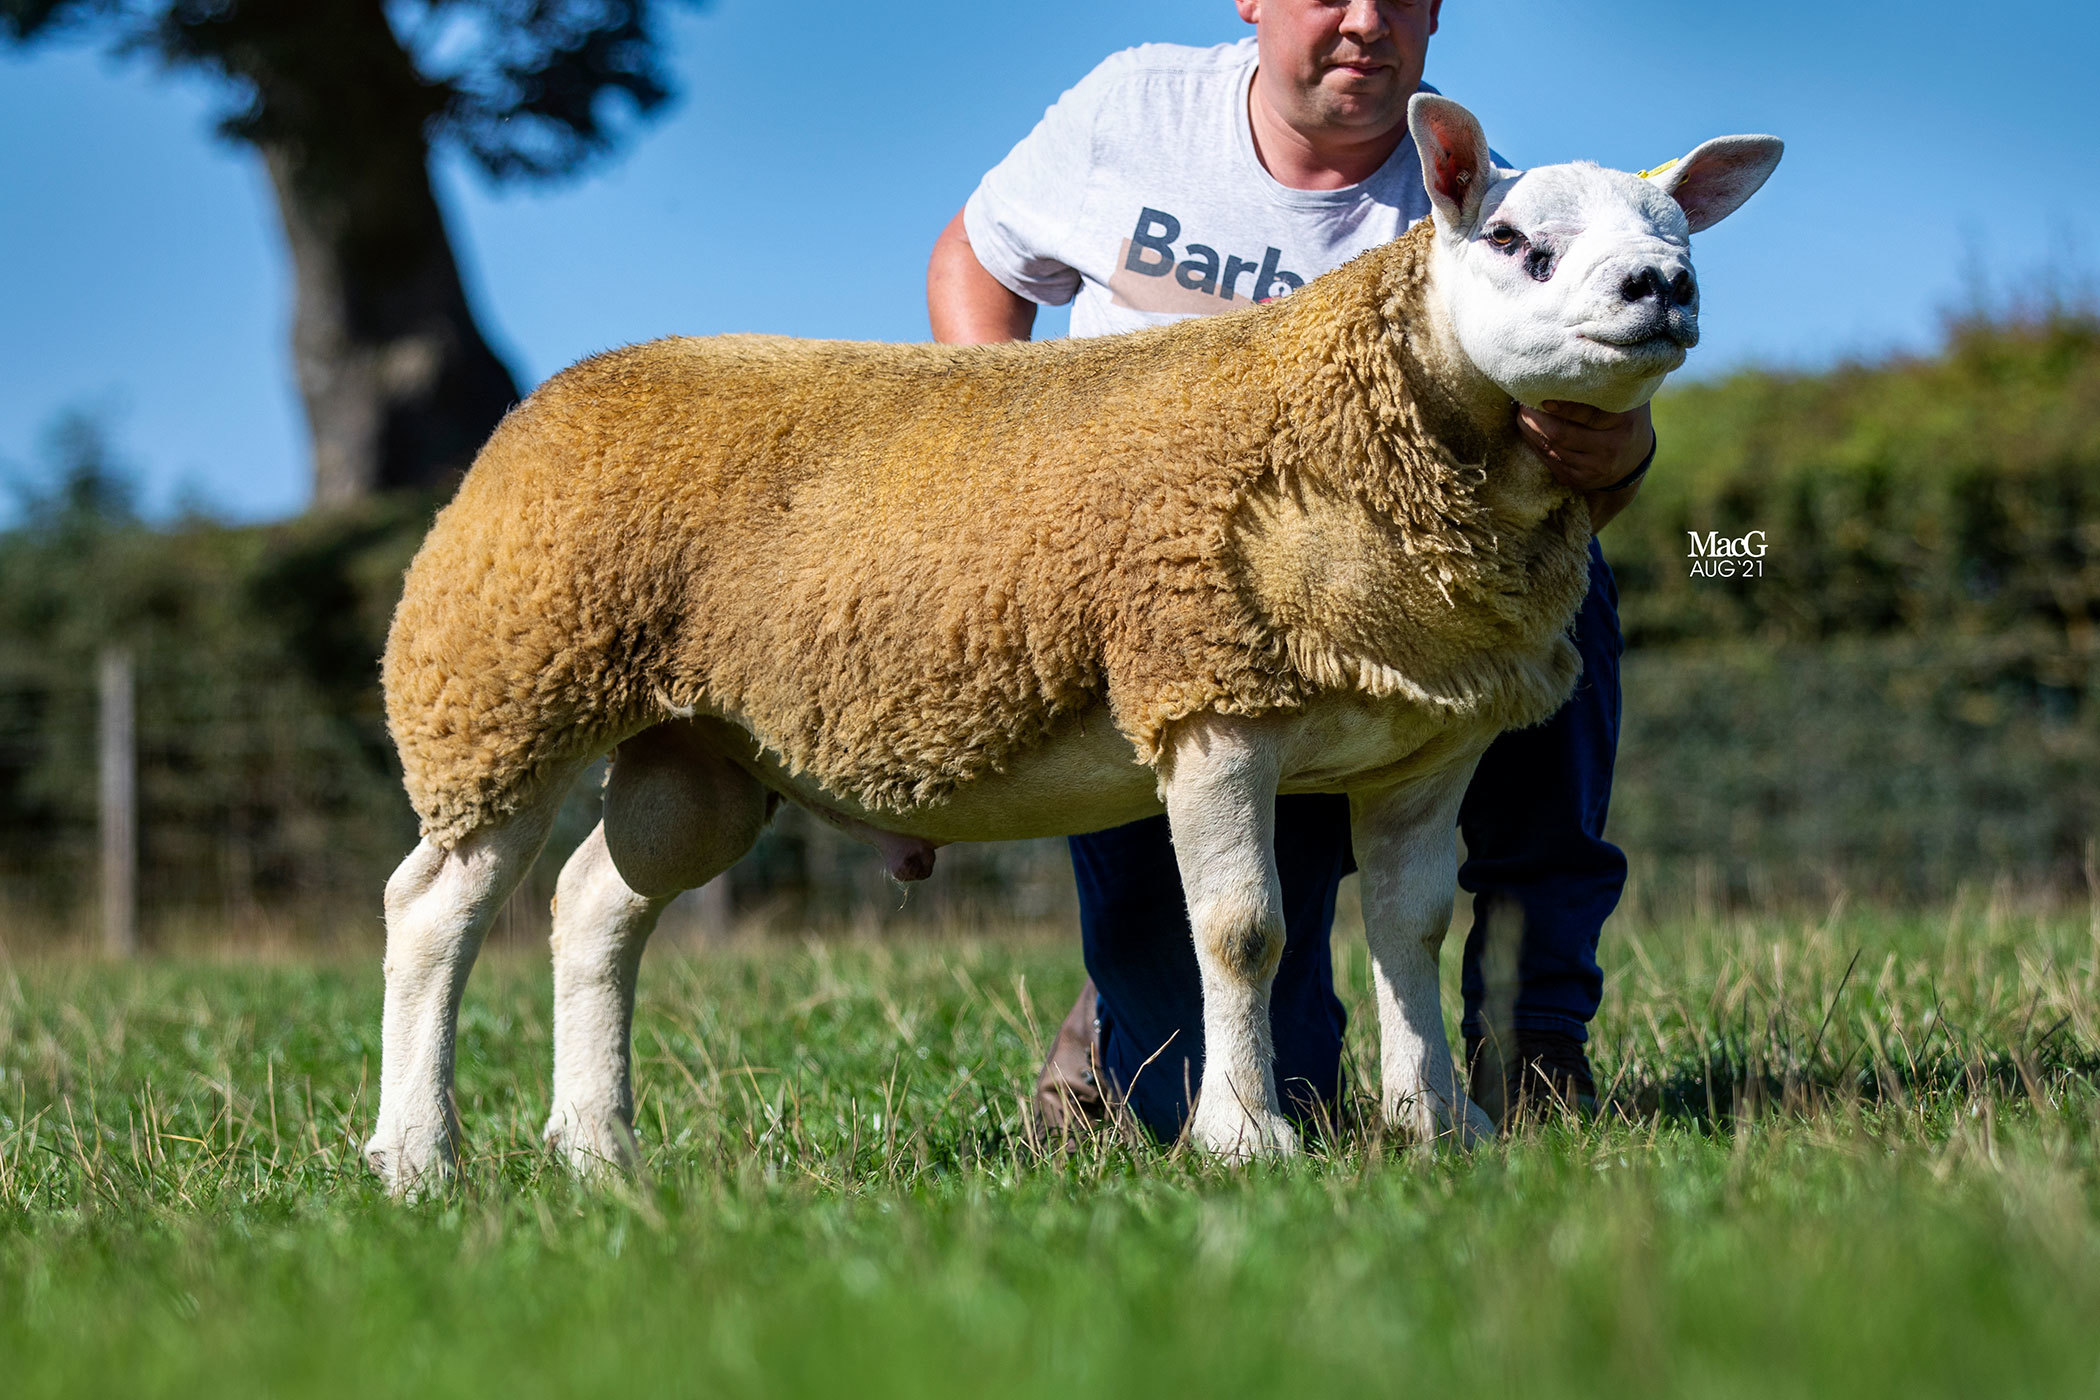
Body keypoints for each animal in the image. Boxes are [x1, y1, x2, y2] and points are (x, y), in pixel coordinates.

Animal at [369, 96, 1780, 1192]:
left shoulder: (1424, 741)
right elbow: (1244, 932)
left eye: (1676, 236)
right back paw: (419, 1157)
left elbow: (1412, 929)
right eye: (1515, 242)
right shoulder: (1209, 692)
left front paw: (1439, 1124)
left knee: (594, 906)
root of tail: (551, 398)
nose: (1662, 289)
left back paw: (599, 1150)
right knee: (433, 912)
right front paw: (1247, 1136)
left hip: (693, 745)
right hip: (500, 687)